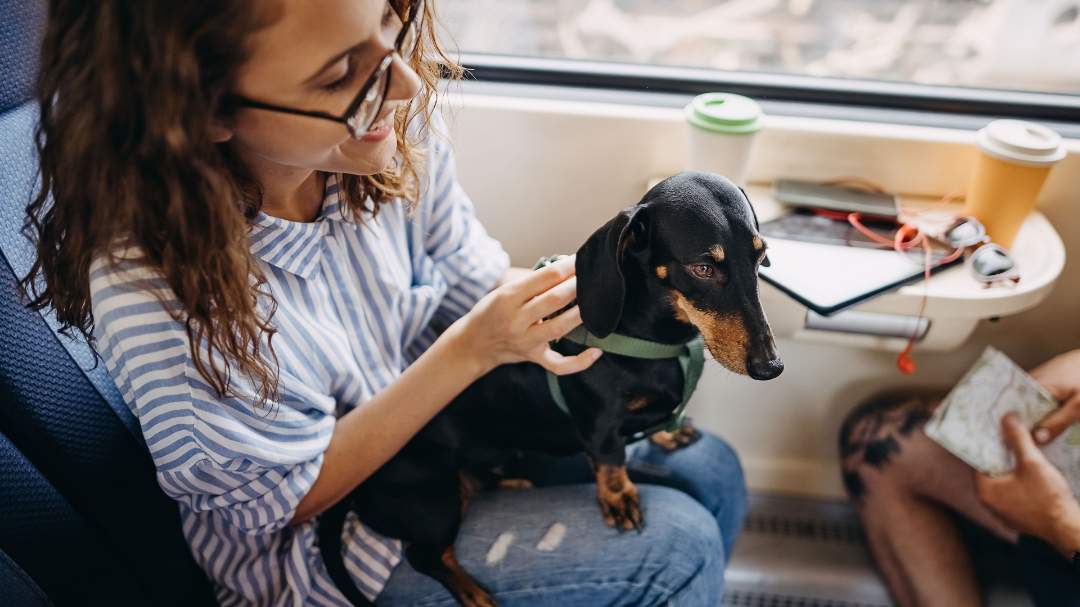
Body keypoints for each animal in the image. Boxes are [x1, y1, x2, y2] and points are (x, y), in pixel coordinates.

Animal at [319, 170, 786, 604]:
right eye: (703, 268)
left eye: (761, 256)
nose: (772, 367)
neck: (657, 338)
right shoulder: (600, 426)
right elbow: (611, 461)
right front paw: (619, 498)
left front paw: (670, 434)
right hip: (432, 500)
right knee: (427, 555)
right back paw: (473, 593)